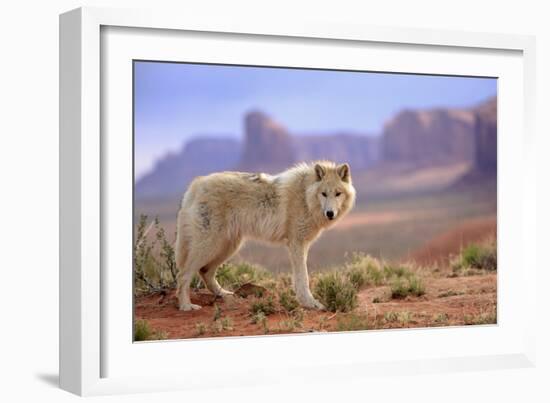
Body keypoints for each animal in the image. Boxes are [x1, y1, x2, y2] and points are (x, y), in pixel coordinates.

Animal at [177, 162, 358, 312]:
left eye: (338, 194)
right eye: (324, 194)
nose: (330, 213)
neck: (305, 196)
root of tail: (196, 184)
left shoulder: (302, 245)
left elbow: (300, 277)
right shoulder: (296, 243)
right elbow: (303, 278)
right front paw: (310, 303)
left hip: (228, 247)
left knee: (205, 272)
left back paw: (224, 294)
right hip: (211, 246)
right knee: (184, 275)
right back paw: (186, 306)